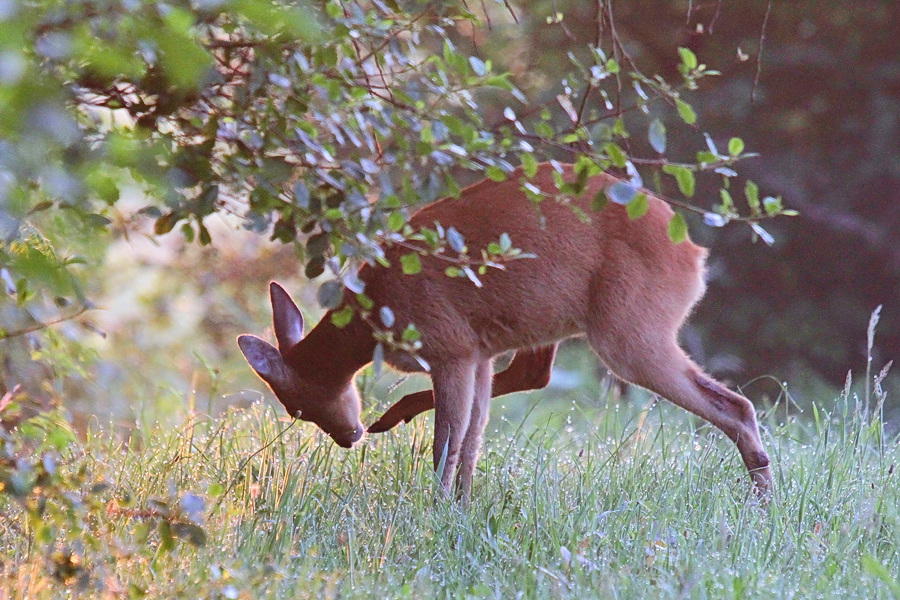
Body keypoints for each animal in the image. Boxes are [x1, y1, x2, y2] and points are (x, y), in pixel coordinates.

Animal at [241, 161, 772, 502]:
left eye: (300, 406)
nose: (348, 438)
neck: (374, 316)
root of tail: (695, 254)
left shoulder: (449, 346)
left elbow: (447, 443)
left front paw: (435, 512)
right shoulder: (476, 353)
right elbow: (472, 438)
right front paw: (461, 508)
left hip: (628, 331)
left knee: (737, 405)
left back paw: (763, 503)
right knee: (534, 375)